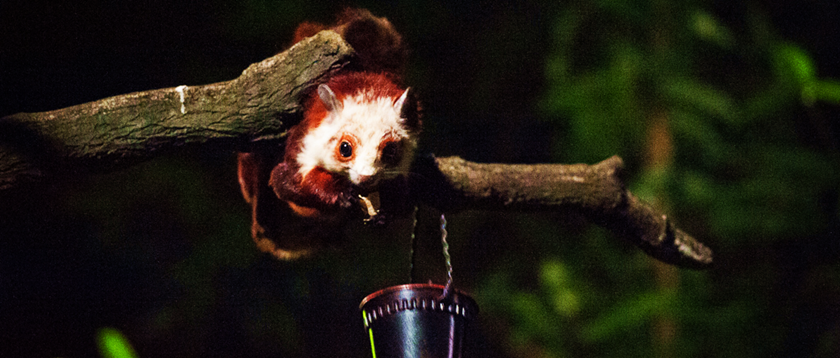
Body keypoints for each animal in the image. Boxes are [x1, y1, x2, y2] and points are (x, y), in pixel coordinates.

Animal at [235, 9, 420, 260]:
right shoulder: (301, 150)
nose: (366, 177)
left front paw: (386, 213)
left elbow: (403, 200)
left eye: (391, 150)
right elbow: (287, 183)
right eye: (345, 148)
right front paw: (341, 195)